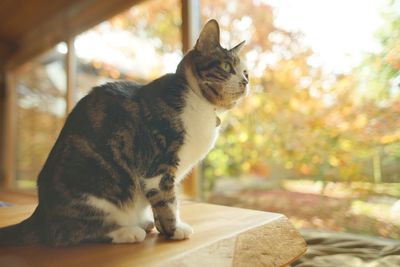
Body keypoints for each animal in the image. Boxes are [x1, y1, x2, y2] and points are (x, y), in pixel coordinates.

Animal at [0, 19, 248, 248]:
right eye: (227, 68)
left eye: (245, 71)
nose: (246, 81)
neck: (201, 104)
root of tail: (39, 214)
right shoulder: (158, 167)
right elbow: (168, 201)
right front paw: (174, 230)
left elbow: (160, 203)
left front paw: (162, 227)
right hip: (91, 189)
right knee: (65, 234)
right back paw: (126, 231)